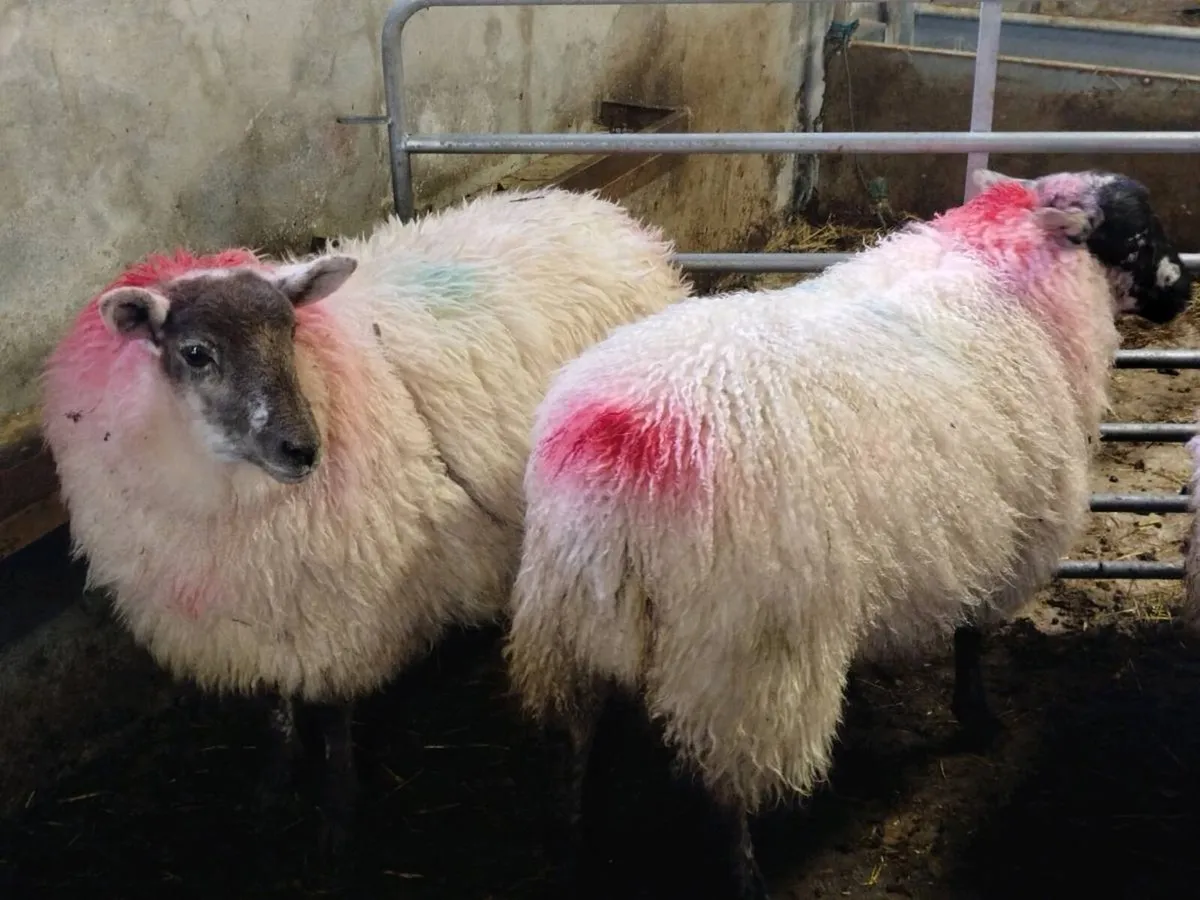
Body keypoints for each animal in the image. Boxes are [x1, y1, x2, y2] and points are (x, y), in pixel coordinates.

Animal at [39, 186, 691, 856]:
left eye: (290, 331)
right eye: (196, 354)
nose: (302, 449)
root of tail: (602, 212)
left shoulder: (344, 608)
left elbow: (333, 715)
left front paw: (337, 810)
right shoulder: (253, 614)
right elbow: (276, 707)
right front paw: (273, 789)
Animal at [503, 168, 1193, 897]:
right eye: (1138, 235)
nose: (1184, 290)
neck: (1006, 266)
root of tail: (623, 439)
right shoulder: (1002, 530)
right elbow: (970, 636)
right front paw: (977, 719)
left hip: (569, 623)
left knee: (580, 748)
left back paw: (577, 851)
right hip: (747, 651)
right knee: (727, 791)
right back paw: (746, 877)